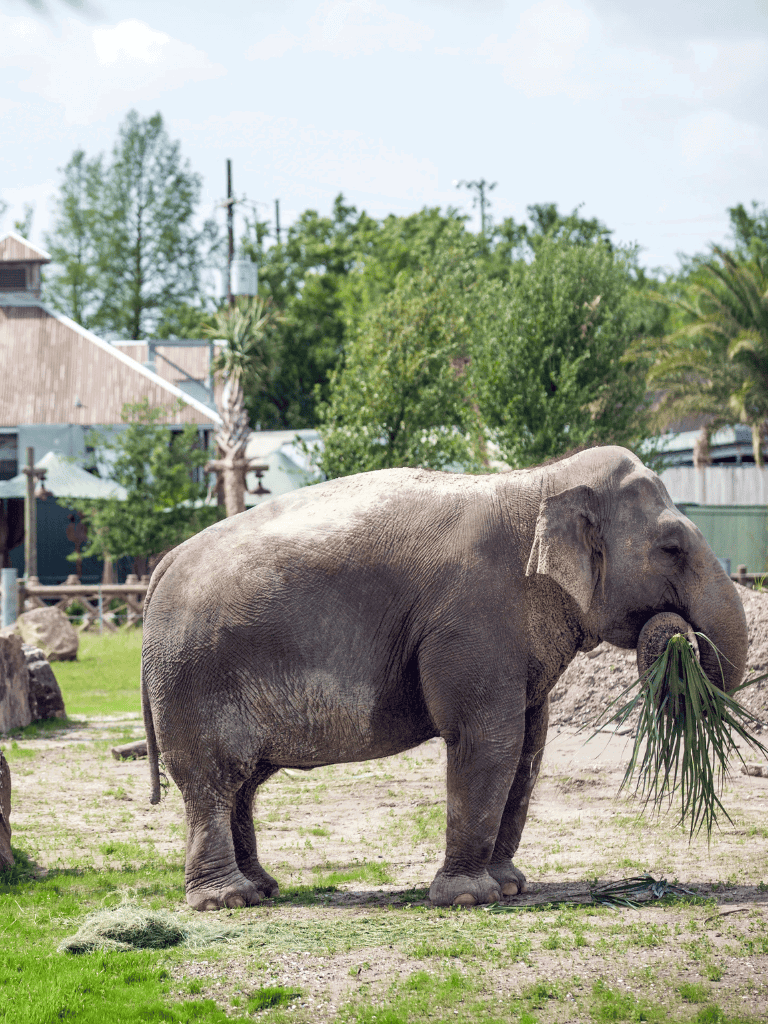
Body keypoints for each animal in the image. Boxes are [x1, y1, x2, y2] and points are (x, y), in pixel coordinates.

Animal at [141, 445, 748, 911]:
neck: (542, 480)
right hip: (193, 676)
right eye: (671, 547)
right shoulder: (471, 619)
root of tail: (166, 561)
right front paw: (468, 898)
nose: (677, 637)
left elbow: (529, 746)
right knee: (212, 779)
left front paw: (509, 887)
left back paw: (264, 889)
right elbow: (487, 739)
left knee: (242, 784)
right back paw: (227, 900)